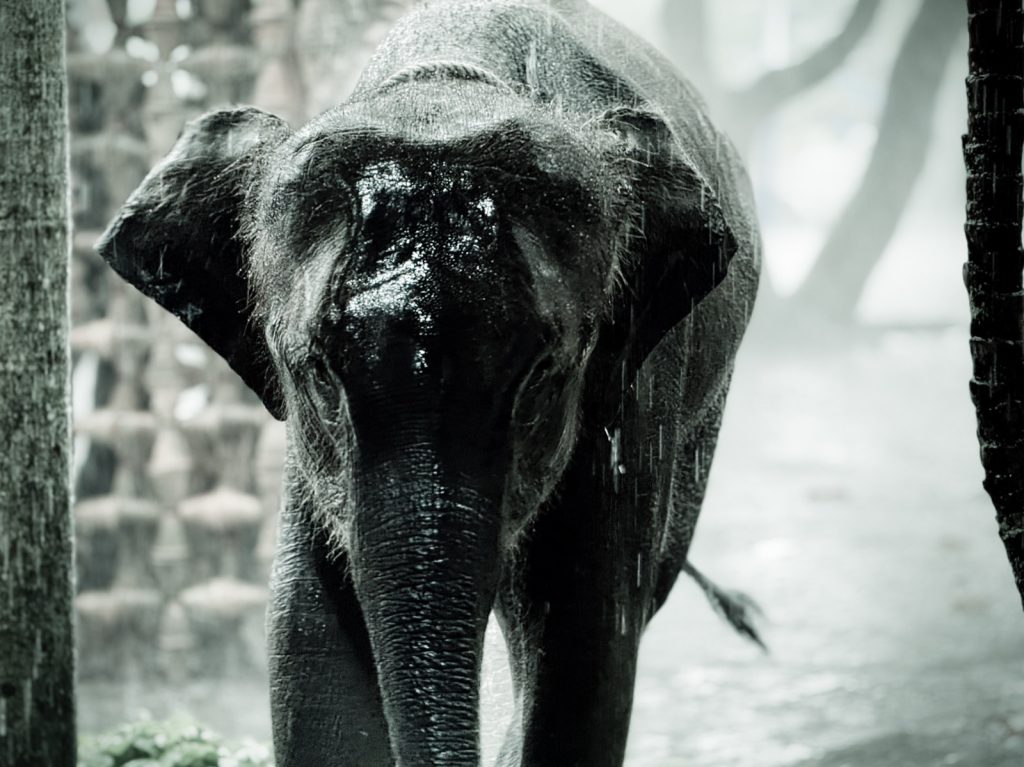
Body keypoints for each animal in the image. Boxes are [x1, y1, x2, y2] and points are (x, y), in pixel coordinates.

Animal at [97, 0, 761, 764]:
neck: (449, 77)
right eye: (316, 373)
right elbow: (310, 641)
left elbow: (584, 643)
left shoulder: (635, 386)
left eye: (545, 375)